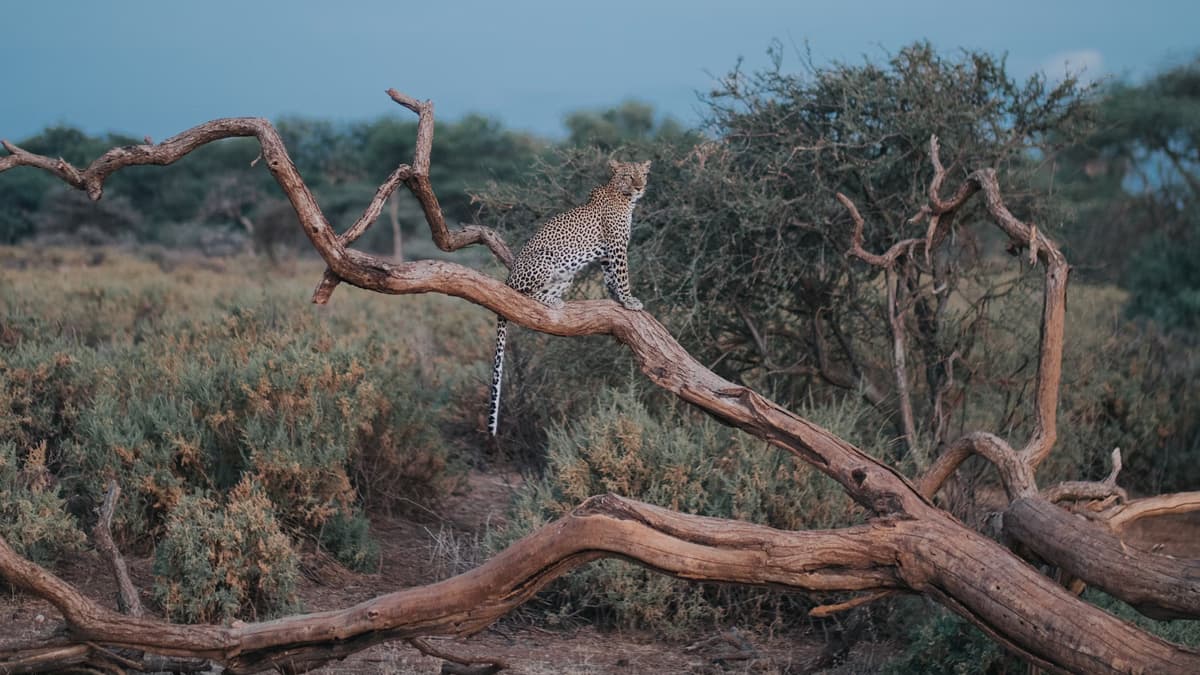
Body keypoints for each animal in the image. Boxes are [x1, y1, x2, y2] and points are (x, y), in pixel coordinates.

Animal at [487, 157, 652, 432]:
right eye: (628, 176)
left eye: (643, 175)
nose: (639, 187)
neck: (624, 198)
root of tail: (508, 277)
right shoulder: (617, 246)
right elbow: (623, 276)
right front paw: (630, 300)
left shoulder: (606, 254)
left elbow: (611, 279)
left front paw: (617, 298)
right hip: (546, 260)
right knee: (522, 294)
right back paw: (551, 302)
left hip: (567, 275)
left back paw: (555, 300)